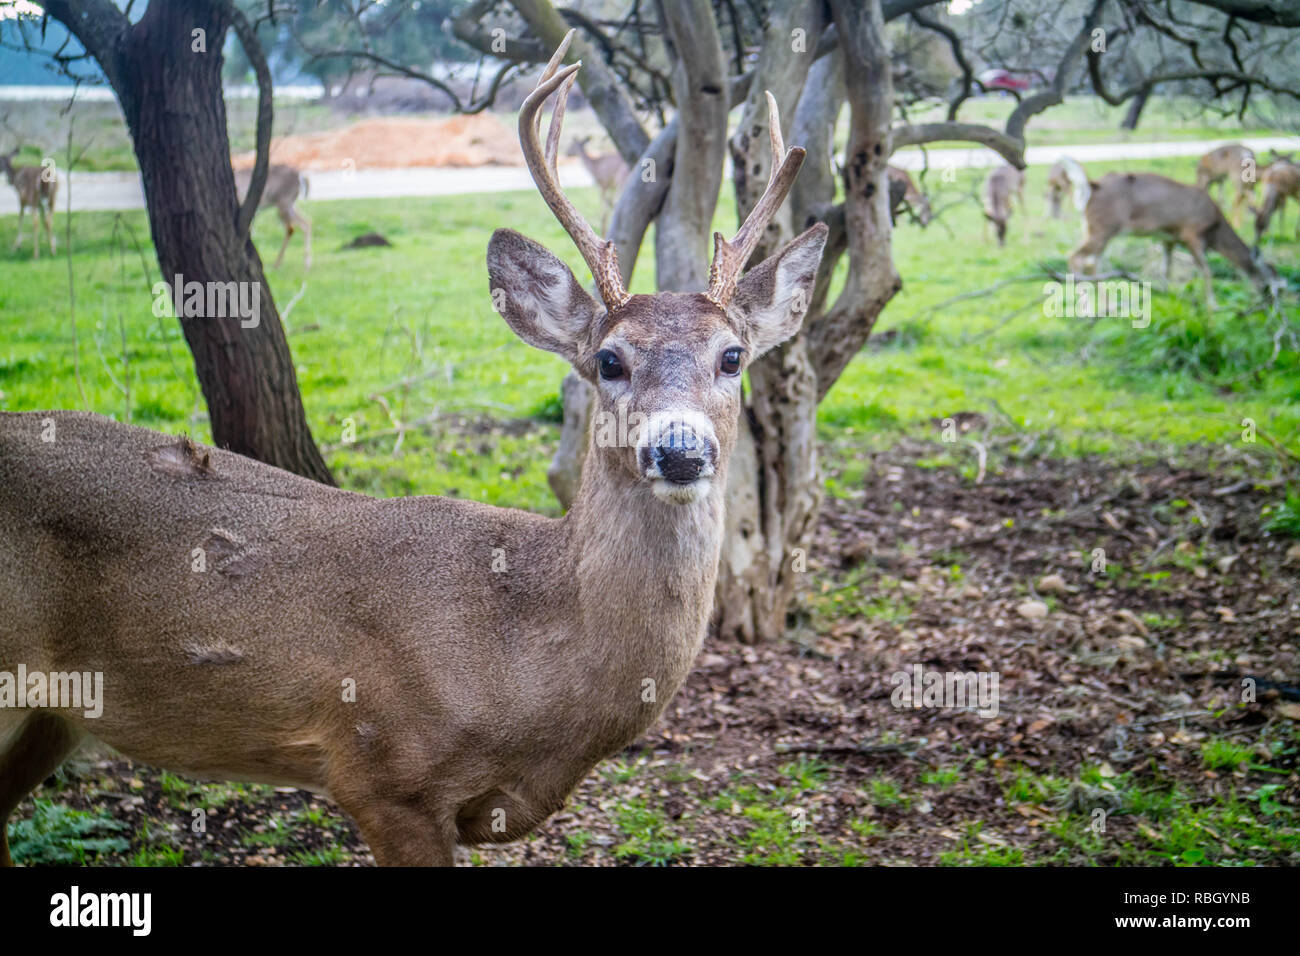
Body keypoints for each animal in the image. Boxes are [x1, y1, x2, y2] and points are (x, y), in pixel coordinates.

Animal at [0, 31, 826, 868]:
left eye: (732, 357)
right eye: (608, 360)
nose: (680, 450)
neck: (529, 659)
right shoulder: (384, 770)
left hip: (51, 716)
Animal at [1068, 172, 1282, 310]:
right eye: (1269, 282)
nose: (1270, 303)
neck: (1214, 227)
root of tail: (1091, 186)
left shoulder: (1168, 238)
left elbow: (1166, 268)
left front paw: (1164, 294)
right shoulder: (1190, 233)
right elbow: (1207, 270)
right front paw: (1213, 304)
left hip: (1093, 229)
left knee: (1091, 263)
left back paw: (1107, 304)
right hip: (1104, 229)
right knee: (1075, 257)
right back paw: (1086, 309)